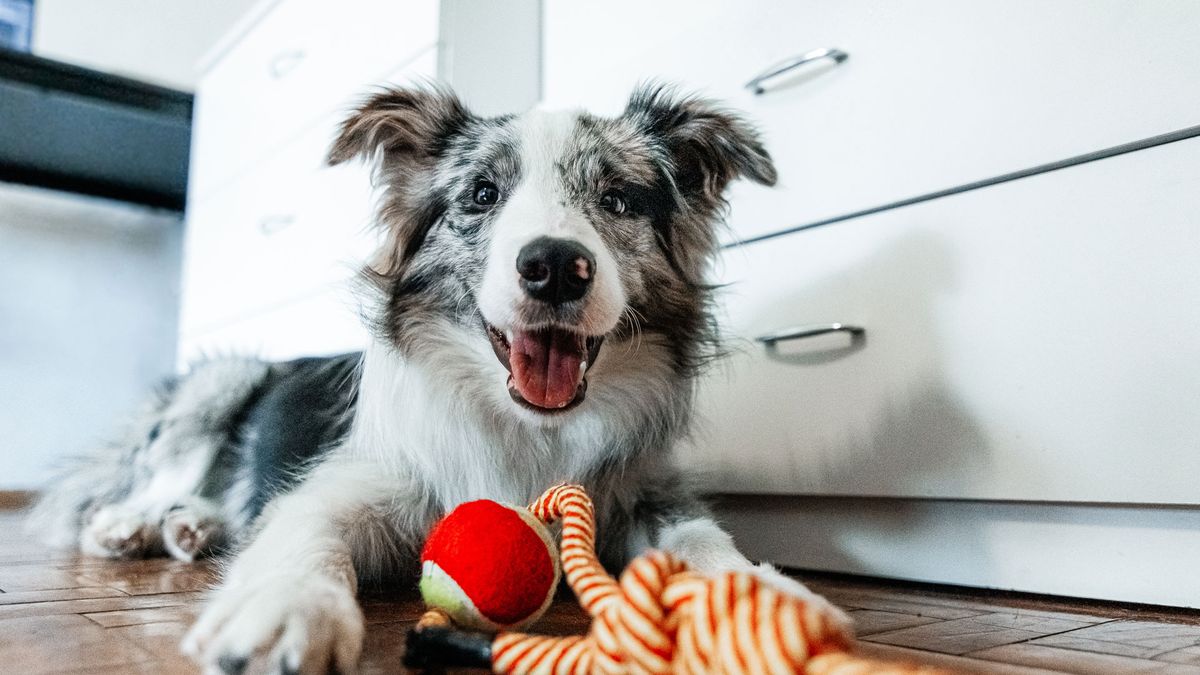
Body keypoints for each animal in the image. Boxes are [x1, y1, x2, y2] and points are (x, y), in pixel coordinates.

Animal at [28, 82, 854, 667]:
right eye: (482, 195)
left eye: (618, 198)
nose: (556, 266)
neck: (525, 427)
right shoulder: (352, 482)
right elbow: (305, 530)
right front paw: (287, 609)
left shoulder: (641, 488)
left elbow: (703, 534)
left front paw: (766, 594)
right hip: (223, 378)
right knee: (153, 478)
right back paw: (137, 522)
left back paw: (194, 524)